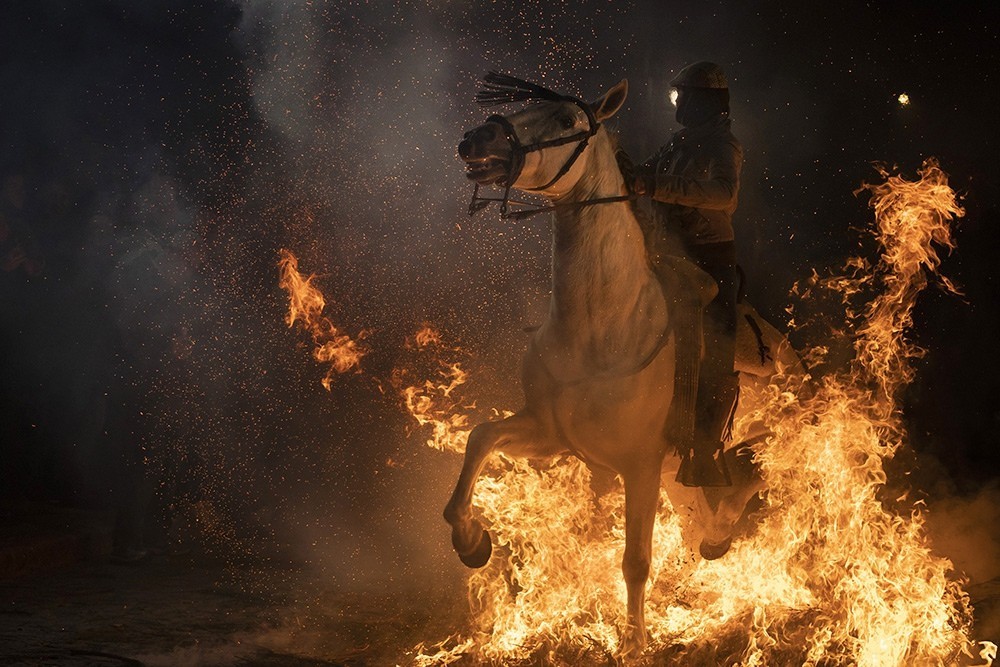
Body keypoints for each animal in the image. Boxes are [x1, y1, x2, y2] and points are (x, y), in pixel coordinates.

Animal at [450, 75, 792, 660]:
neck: (603, 325)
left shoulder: (641, 465)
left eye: (567, 120)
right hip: (679, 474)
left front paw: (634, 644)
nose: (478, 139)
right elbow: (480, 437)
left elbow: (635, 562)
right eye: (523, 106)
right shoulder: (548, 434)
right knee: (707, 512)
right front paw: (472, 541)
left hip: (727, 449)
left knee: (738, 490)